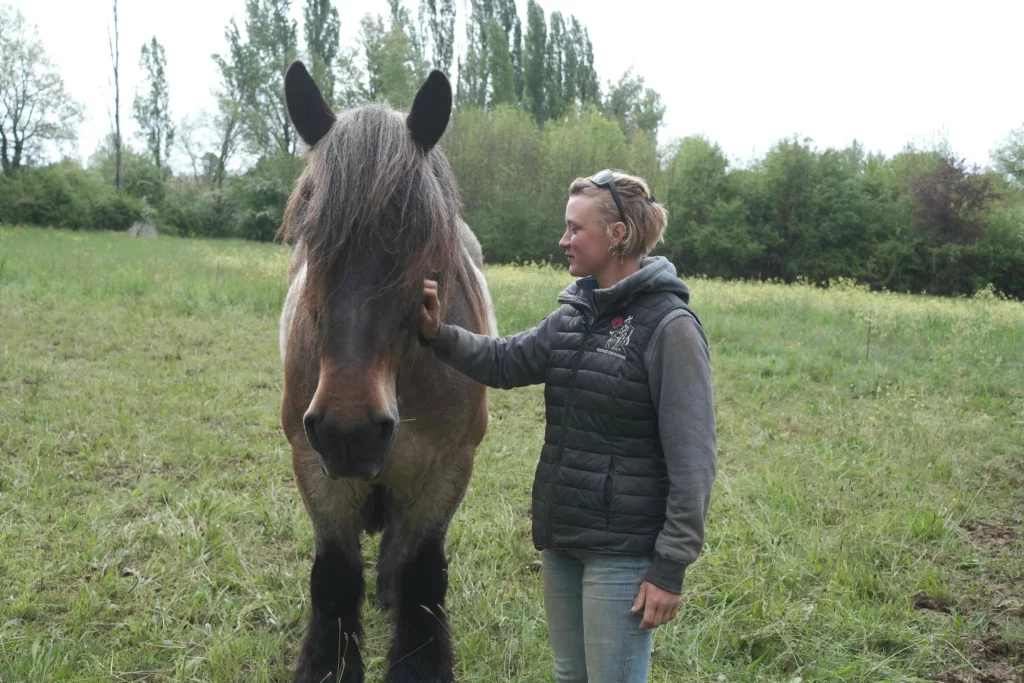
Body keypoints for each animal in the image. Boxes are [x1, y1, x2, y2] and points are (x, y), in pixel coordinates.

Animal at [277, 61, 496, 683]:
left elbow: (420, 570)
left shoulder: (447, 467)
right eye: (309, 235)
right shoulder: (314, 464)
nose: (348, 429)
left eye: (425, 244)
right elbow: (335, 573)